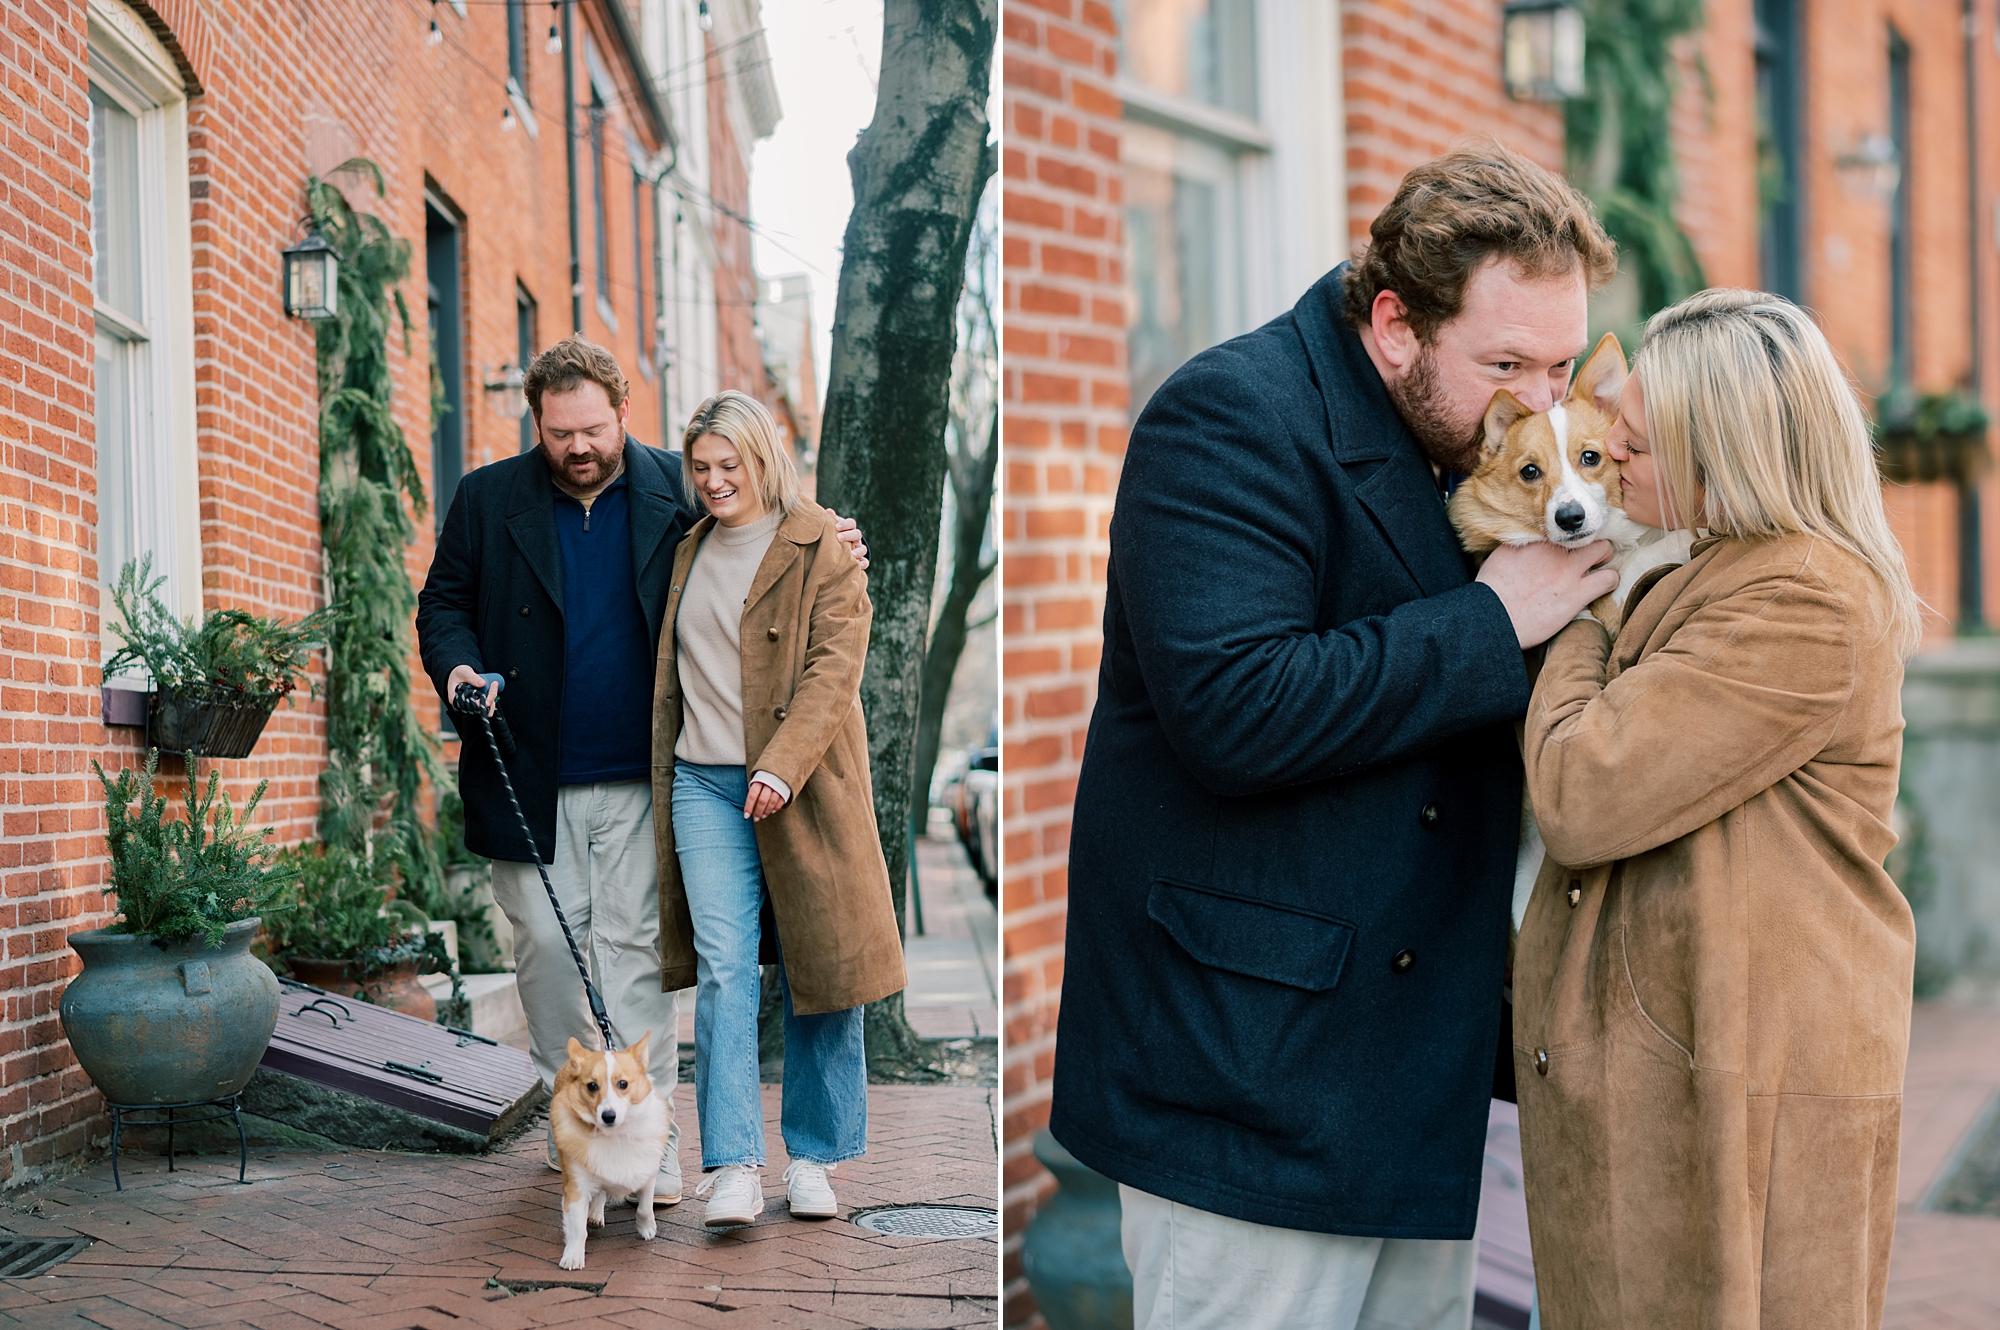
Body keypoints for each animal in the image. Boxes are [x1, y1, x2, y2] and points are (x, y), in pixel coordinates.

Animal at [548, 1032, 672, 1272]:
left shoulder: (647, 1174)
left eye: (623, 1084)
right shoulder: (576, 1186)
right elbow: (577, 1228)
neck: (615, 1135)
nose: (608, 1116)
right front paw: (573, 1256)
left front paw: (646, 1228)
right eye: (592, 1086)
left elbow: (644, 1208)